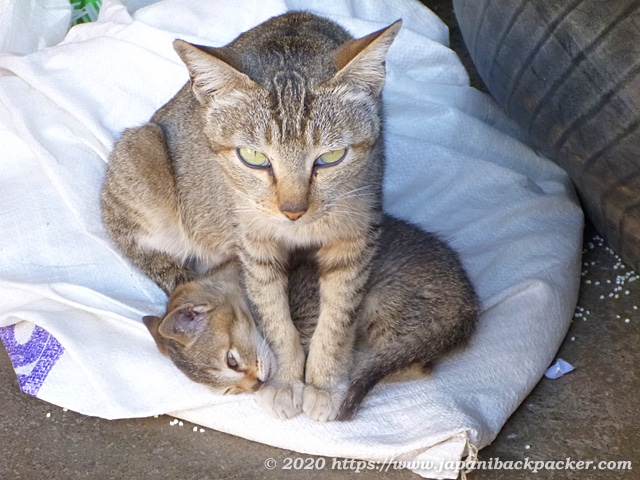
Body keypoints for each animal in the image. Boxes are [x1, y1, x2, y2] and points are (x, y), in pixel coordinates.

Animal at [100, 12, 400, 420]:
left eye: (330, 157)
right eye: (254, 157)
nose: (293, 210)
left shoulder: (356, 236)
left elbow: (338, 317)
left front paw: (323, 383)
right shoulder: (254, 244)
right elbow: (272, 316)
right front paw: (285, 381)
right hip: (140, 152)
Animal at [142, 215, 478, 420]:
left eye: (231, 361)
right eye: (229, 391)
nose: (255, 387)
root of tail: (469, 304)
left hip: (382, 301)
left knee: (415, 365)